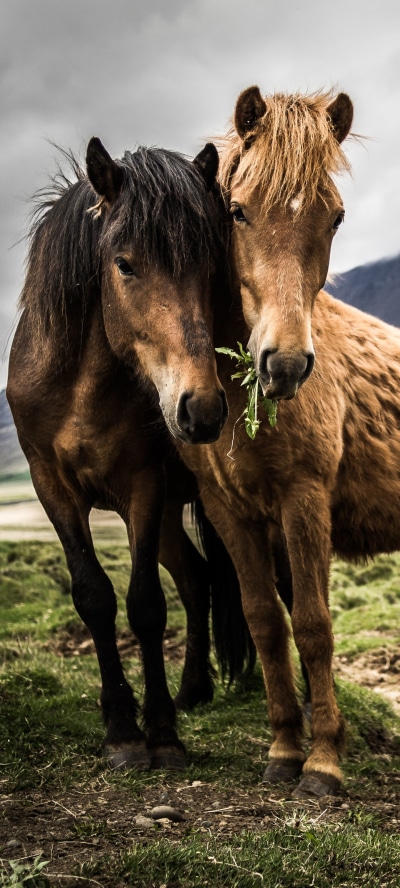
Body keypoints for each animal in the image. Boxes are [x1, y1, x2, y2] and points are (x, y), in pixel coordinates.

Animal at [6, 137, 230, 771]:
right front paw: (123, 730)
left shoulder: (143, 488)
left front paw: (162, 734)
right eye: (124, 264)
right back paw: (194, 689)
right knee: (197, 578)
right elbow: (95, 597)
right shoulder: (51, 489)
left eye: (211, 265)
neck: (79, 390)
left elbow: (146, 604)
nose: (202, 409)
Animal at [173, 86, 383, 799]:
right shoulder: (230, 513)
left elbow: (314, 626)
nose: (285, 366)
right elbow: (266, 621)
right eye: (237, 211)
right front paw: (285, 748)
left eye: (337, 218)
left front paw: (322, 762)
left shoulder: (305, 500)